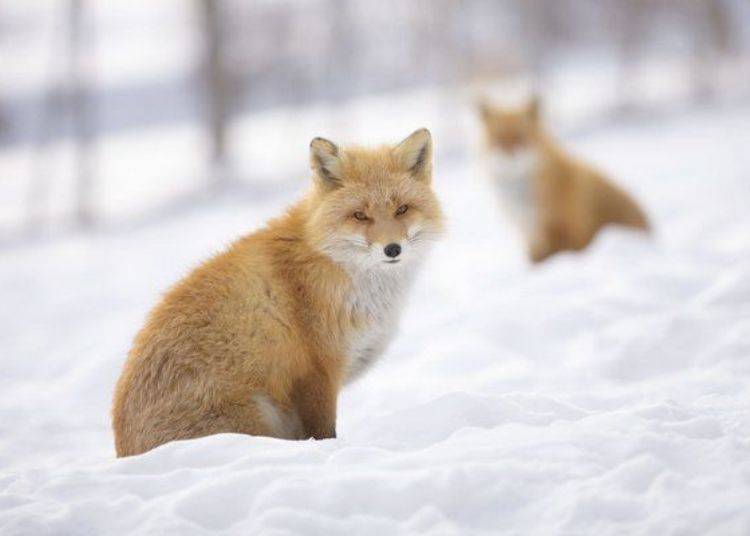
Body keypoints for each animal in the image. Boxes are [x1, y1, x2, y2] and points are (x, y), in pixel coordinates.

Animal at [111, 127, 440, 454]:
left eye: (402, 209)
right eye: (360, 215)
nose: (392, 249)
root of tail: (124, 449)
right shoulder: (317, 371)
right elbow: (324, 433)